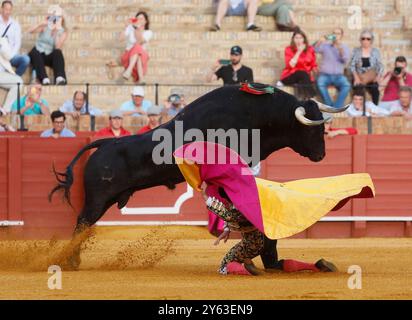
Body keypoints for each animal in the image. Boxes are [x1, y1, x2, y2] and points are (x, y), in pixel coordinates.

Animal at [47, 85, 344, 268]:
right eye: (311, 129)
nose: (321, 155)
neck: (260, 113)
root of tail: (105, 143)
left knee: (84, 224)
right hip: (98, 198)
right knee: (82, 222)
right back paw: (70, 261)